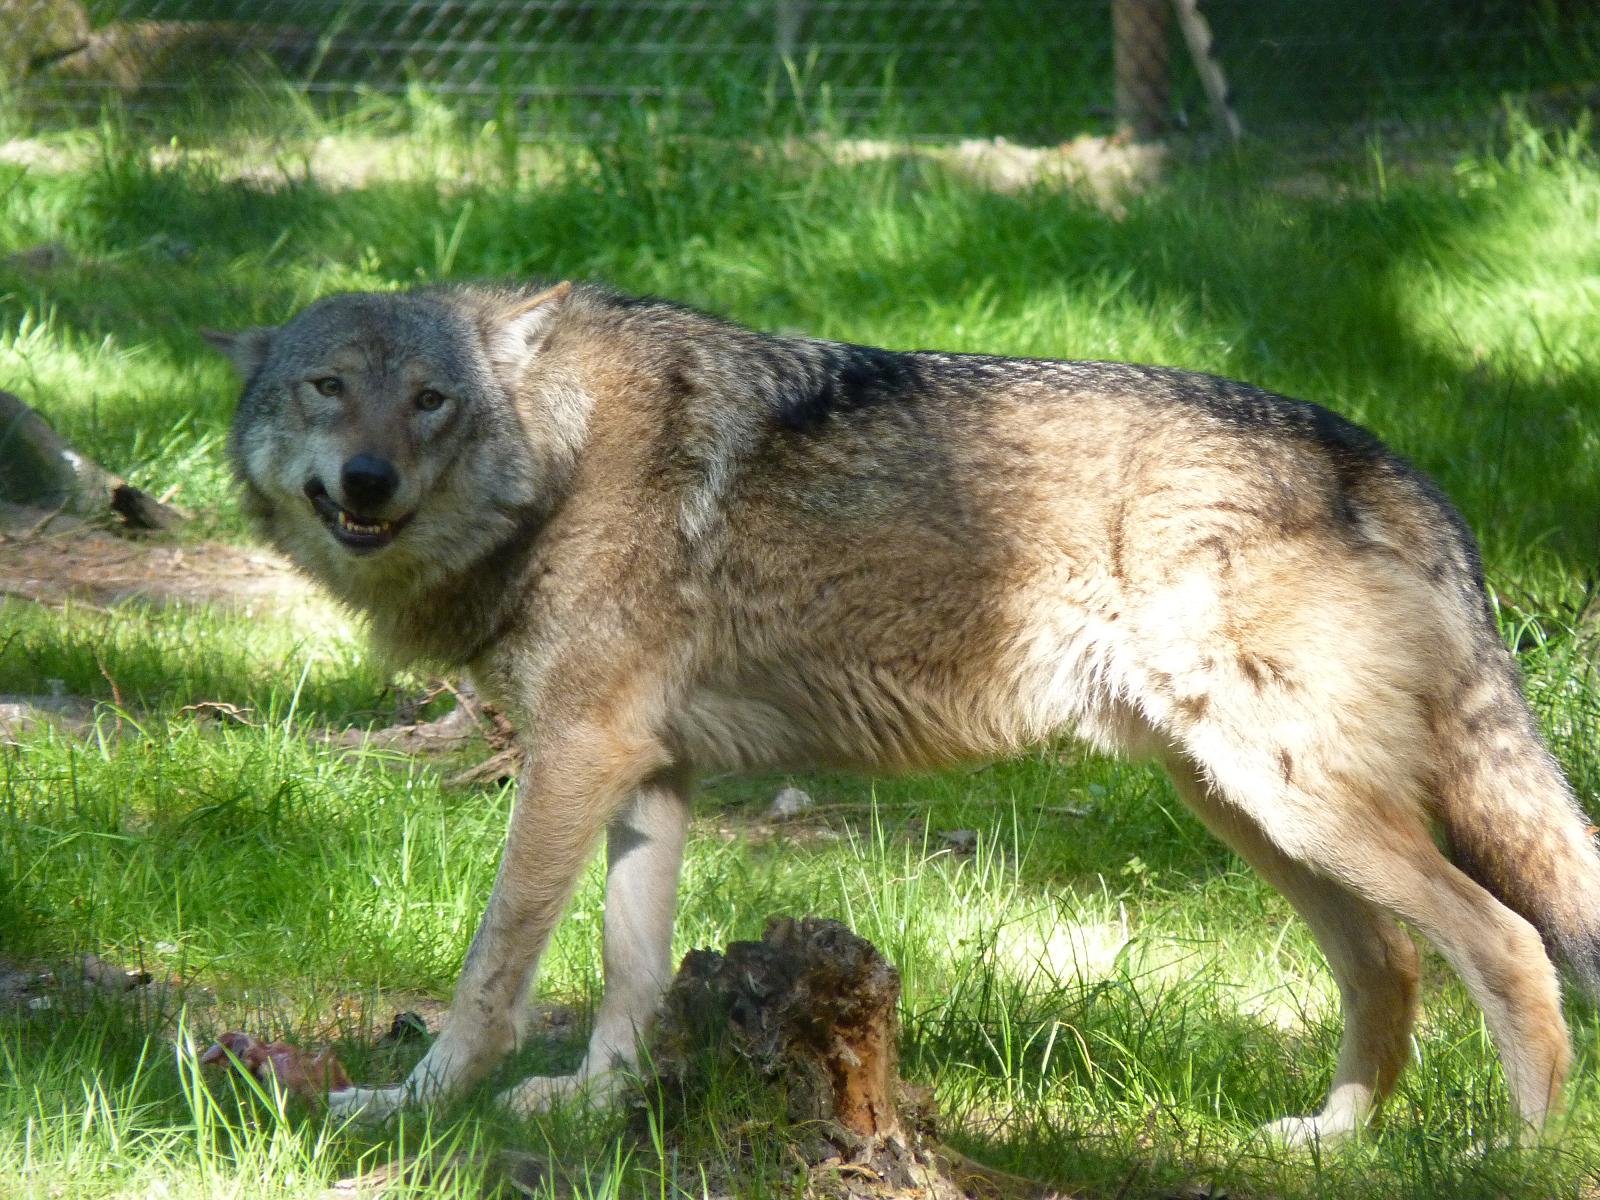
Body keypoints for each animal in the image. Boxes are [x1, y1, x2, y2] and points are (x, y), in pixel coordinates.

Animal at [207, 280, 1599, 1144]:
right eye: (327, 388)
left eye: (429, 400)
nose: (368, 482)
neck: (560, 461)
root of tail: (1390, 464)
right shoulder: (643, 774)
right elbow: (629, 970)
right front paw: (600, 1107)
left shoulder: (574, 756)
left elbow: (493, 968)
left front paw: (417, 1106)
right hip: (1247, 809)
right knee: (1391, 963)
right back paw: (1331, 1138)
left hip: (1291, 801)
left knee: (1504, 942)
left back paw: (1515, 1153)